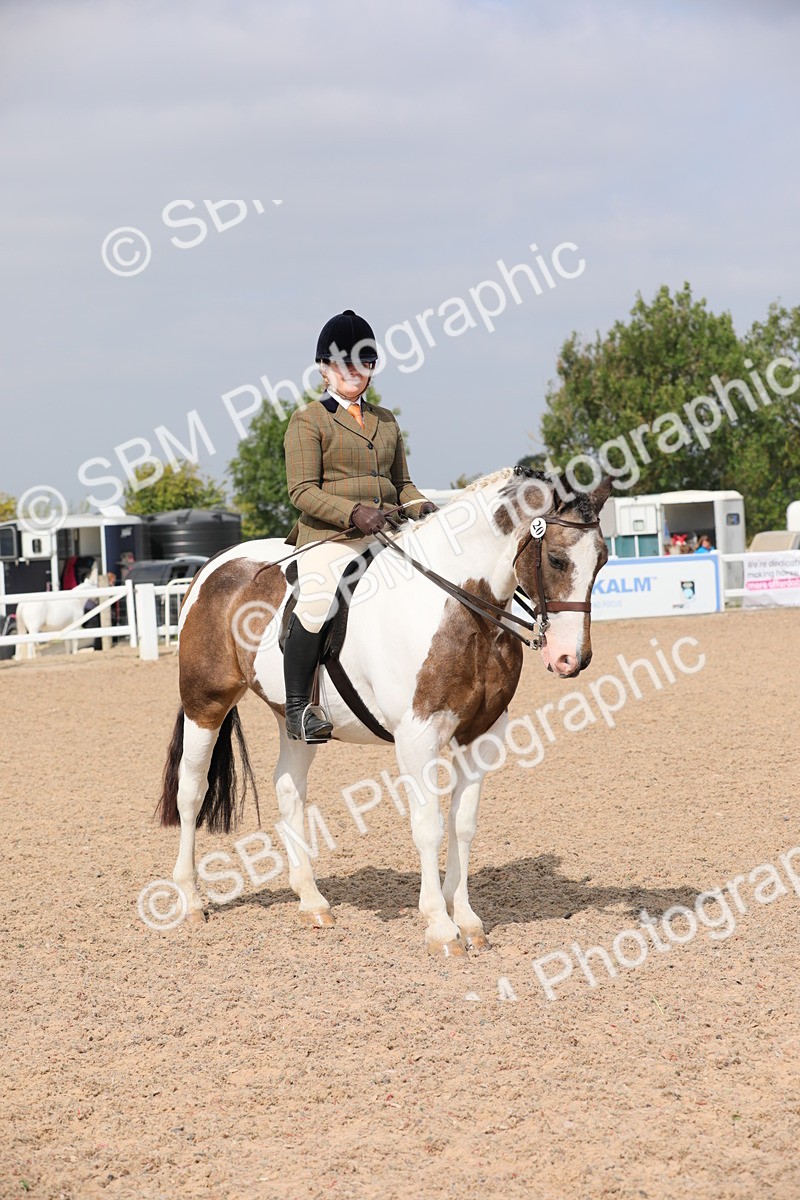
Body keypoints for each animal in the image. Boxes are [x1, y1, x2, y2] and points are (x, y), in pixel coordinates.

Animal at [157, 467, 611, 956]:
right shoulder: (417, 735)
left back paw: (312, 902)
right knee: (192, 790)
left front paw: (466, 919)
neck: (460, 607)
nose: (571, 659)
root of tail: (215, 564)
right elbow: (428, 825)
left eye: (602, 560)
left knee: (288, 788)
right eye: (557, 561)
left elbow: (463, 824)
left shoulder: (482, 733)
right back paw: (190, 900)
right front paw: (439, 926)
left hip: (292, 718)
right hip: (205, 703)